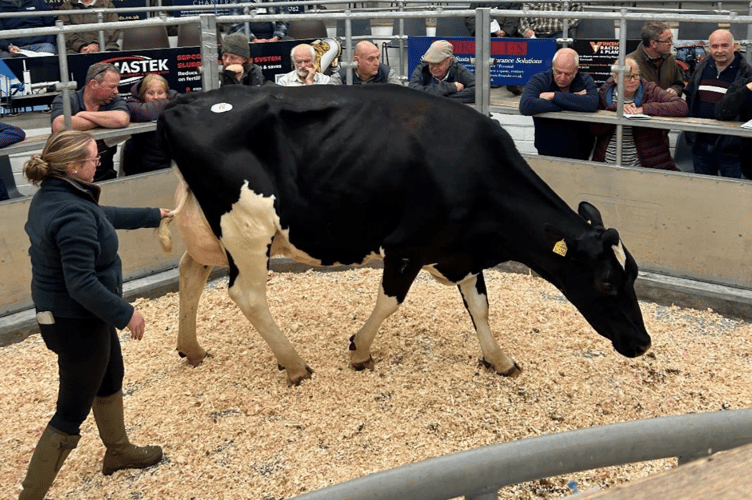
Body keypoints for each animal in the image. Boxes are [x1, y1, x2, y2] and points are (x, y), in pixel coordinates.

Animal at [158, 84, 651, 386]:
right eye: (606, 282)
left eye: (633, 276)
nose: (643, 343)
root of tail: (184, 102)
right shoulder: (408, 247)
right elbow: (390, 301)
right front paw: (359, 351)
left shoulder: (461, 251)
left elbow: (481, 308)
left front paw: (499, 360)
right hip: (247, 228)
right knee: (247, 294)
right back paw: (295, 364)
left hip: (209, 230)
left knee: (190, 273)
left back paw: (192, 349)